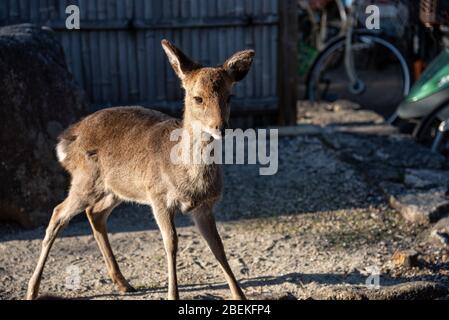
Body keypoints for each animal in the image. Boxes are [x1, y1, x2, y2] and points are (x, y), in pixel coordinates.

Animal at [26, 40, 254, 300]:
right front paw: (172, 295)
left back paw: (123, 283)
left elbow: (218, 246)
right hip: (85, 181)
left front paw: (240, 296)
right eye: (197, 98)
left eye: (229, 96)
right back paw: (32, 290)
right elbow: (171, 243)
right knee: (58, 213)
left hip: (117, 188)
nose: (221, 127)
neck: (187, 179)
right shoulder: (158, 197)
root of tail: (66, 139)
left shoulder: (205, 206)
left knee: (95, 213)